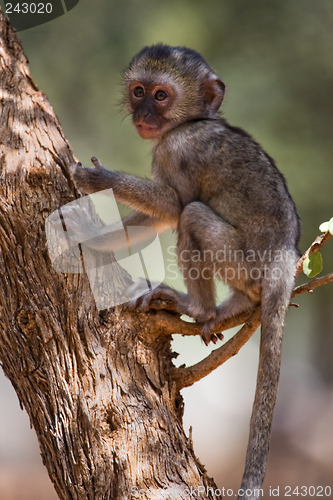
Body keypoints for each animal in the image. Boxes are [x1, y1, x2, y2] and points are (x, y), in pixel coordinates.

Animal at [71, 45, 300, 498]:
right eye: (139, 91)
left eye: (161, 96)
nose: (144, 113)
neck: (193, 122)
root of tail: (285, 259)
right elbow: (161, 215)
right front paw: (94, 238)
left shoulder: (176, 147)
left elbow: (174, 206)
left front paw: (99, 182)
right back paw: (230, 309)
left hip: (245, 263)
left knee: (192, 214)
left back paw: (199, 308)